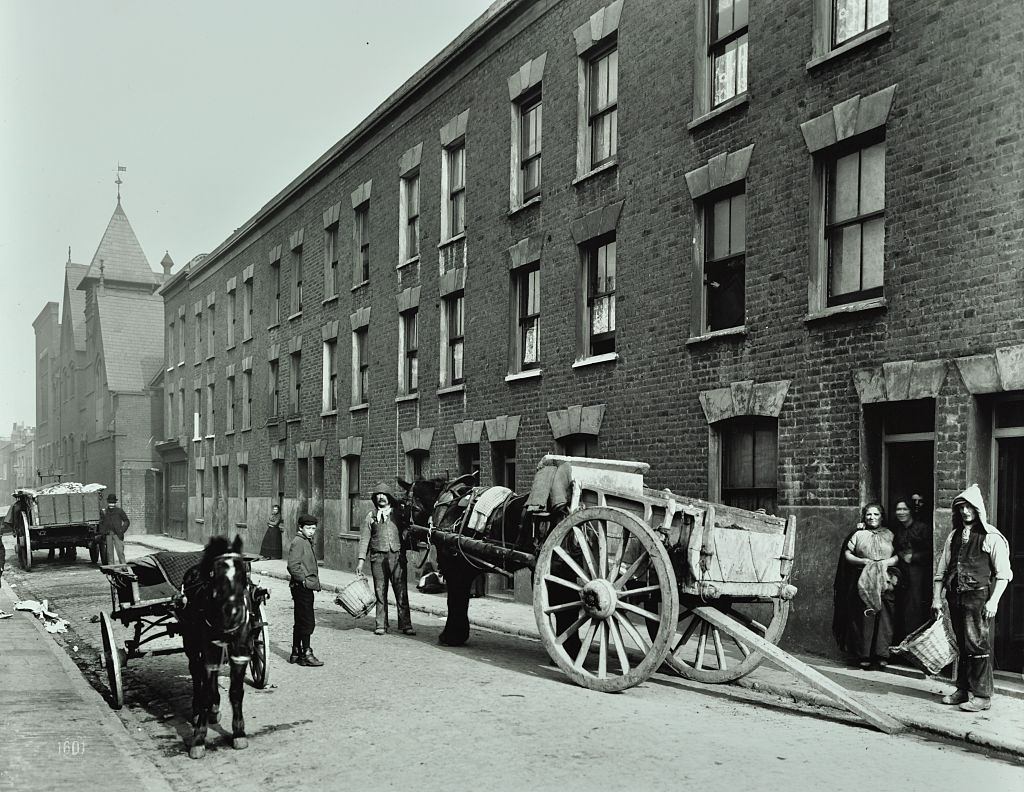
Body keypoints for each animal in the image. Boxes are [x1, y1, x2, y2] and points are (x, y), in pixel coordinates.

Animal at [176, 532, 256, 758]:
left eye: (243, 574)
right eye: (215, 574)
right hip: (192, 643)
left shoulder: (240, 651)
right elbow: (205, 692)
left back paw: (214, 708)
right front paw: (198, 739)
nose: (234, 613)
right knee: (196, 672)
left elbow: (236, 692)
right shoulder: (209, 649)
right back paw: (198, 711)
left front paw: (239, 733)